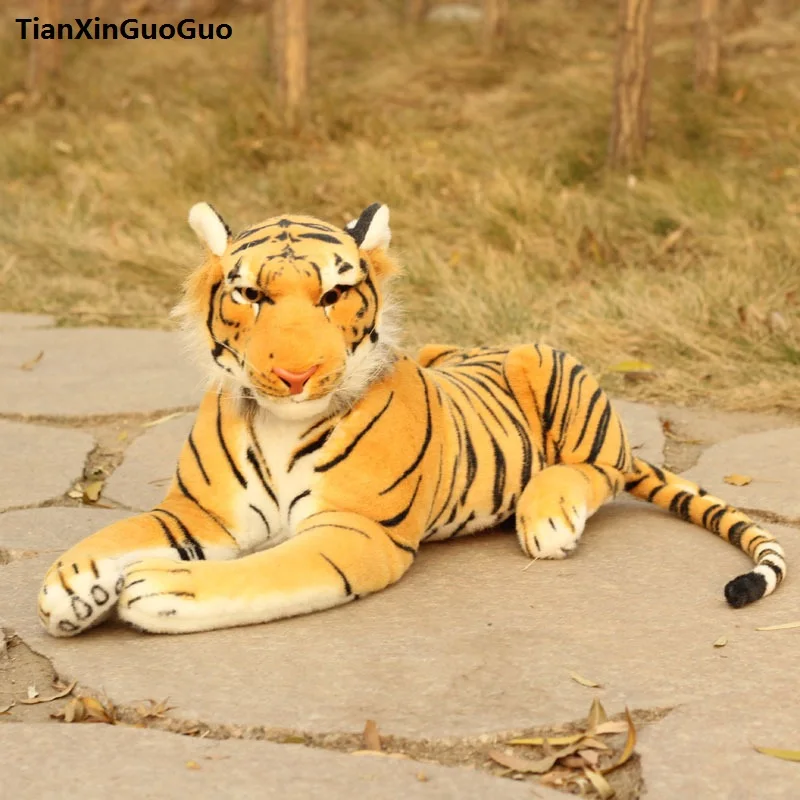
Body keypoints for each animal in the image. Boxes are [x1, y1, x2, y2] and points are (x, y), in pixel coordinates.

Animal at [38, 202, 788, 637]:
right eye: (249, 295)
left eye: (333, 293)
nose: (295, 374)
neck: (282, 421)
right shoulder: (202, 514)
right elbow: (119, 535)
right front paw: (72, 586)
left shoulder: (353, 533)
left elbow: (259, 573)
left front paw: (159, 586)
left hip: (547, 360)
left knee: (597, 470)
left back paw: (547, 515)